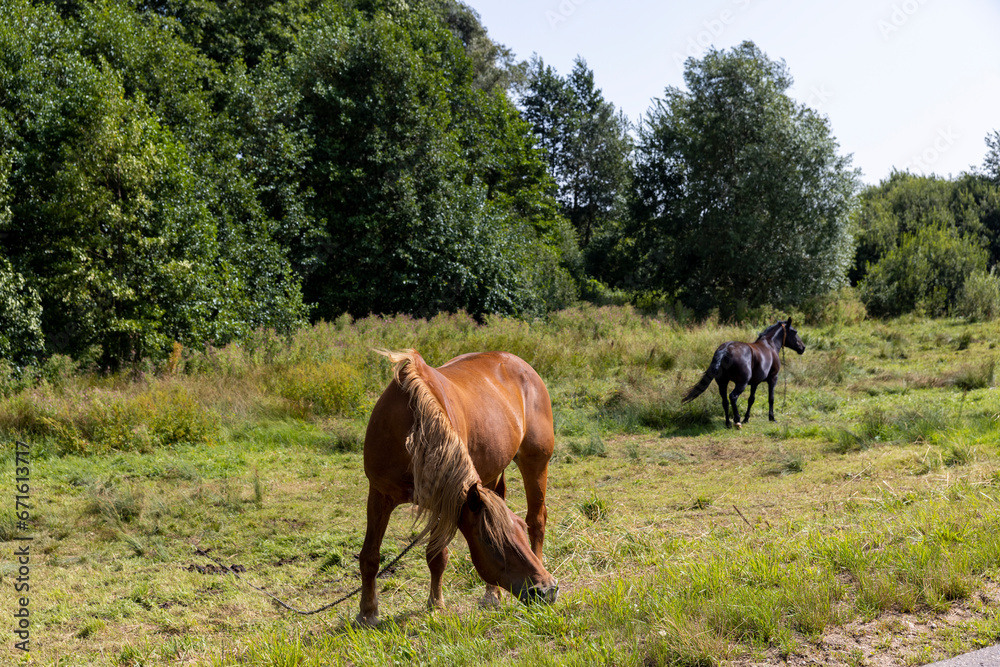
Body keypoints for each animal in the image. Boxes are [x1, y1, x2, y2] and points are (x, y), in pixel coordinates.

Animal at [356, 349, 558, 626]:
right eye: (491, 541)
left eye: (519, 529)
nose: (546, 589)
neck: (412, 431)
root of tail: (520, 364)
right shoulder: (379, 495)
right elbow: (370, 556)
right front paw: (367, 613)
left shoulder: (444, 501)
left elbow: (436, 556)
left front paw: (436, 605)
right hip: (491, 474)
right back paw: (492, 595)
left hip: (535, 463)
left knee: (537, 520)